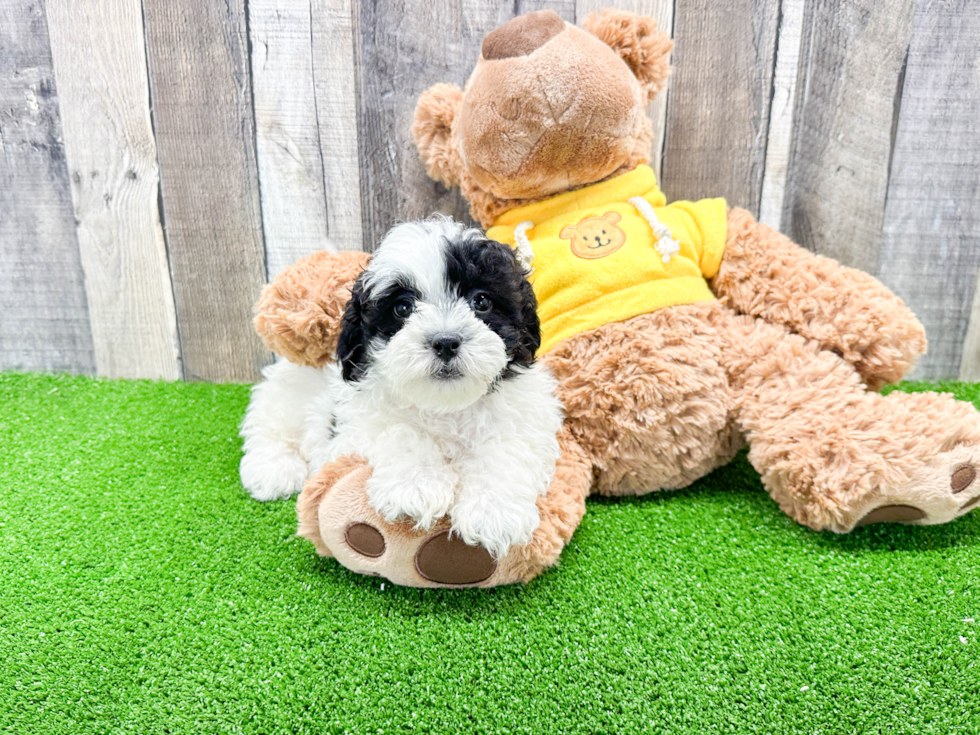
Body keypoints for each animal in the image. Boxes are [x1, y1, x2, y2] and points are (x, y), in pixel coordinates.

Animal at [238, 218, 564, 556]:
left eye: (482, 301)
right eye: (403, 308)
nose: (445, 342)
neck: (445, 406)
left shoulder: (527, 416)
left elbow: (504, 449)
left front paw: (494, 512)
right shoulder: (360, 421)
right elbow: (401, 432)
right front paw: (416, 486)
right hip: (290, 392)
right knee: (271, 425)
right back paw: (273, 470)